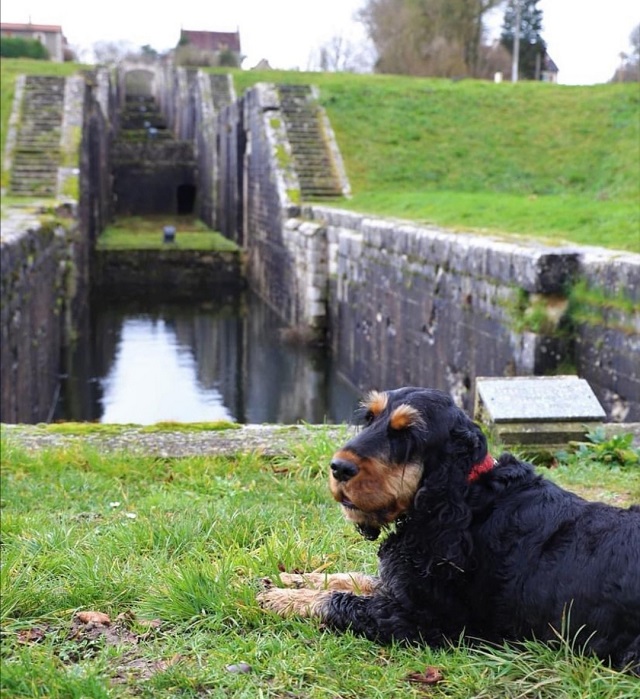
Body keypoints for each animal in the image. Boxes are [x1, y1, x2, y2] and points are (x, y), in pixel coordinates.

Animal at [258, 386, 640, 676]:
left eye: (408, 433)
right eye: (369, 419)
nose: (338, 467)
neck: (468, 494)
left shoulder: (422, 619)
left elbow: (341, 601)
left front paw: (282, 599)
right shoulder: (403, 581)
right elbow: (354, 578)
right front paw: (290, 580)